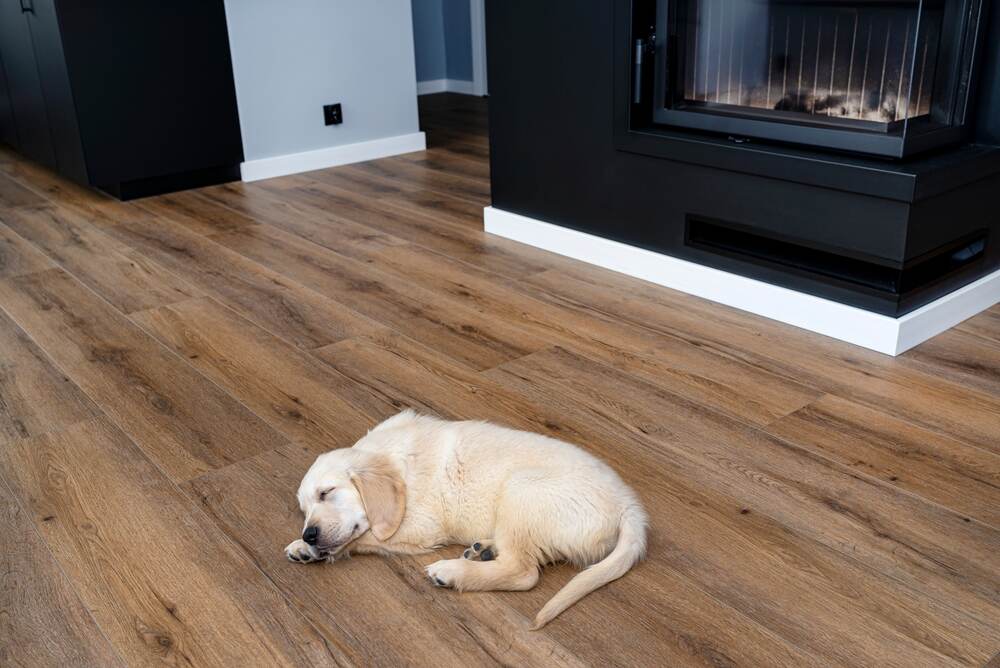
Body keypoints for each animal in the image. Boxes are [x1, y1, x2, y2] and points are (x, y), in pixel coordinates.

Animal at [284, 410, 648, 628]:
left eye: (327, 492)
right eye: (304, 509)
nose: (310, 533)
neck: (395, 460)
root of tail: (629, 506)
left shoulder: (419, 527)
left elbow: (363, 536)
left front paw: (311, 547)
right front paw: (304, 547)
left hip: (522, 489)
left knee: (524, 572)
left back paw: (454, 571)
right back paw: (483, 550)